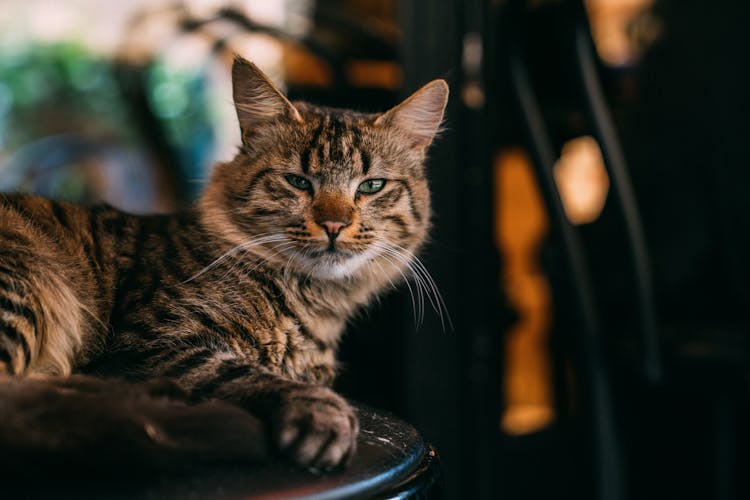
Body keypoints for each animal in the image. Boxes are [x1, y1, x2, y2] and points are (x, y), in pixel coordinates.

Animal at [0, 55, 450, 472]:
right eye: (298, 182)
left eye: (372, 186)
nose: (334, 225)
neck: (313, 304)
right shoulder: (147, 342)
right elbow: (238, 373)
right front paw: (323, 416)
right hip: (28, 288)